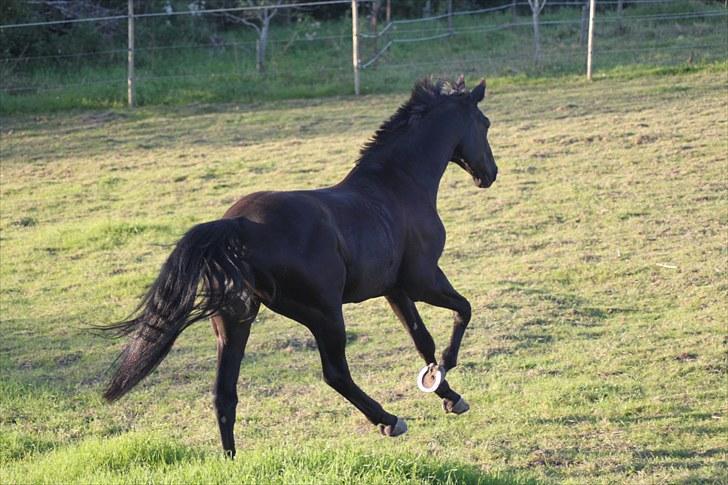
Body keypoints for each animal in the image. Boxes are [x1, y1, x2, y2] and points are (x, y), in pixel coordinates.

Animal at [104, 74, 500, 454]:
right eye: (485, 123)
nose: (490, 174)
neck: (398, 186)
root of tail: (239, 225)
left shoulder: (395, 289)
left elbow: (422, 340)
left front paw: (447, 393)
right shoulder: (423, 279)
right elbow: (463, 310)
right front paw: (446, 369)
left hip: (234, 322)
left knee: (224, 393)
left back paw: (231, 459)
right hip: (324, 313)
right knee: (335, 373)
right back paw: (389, 421)